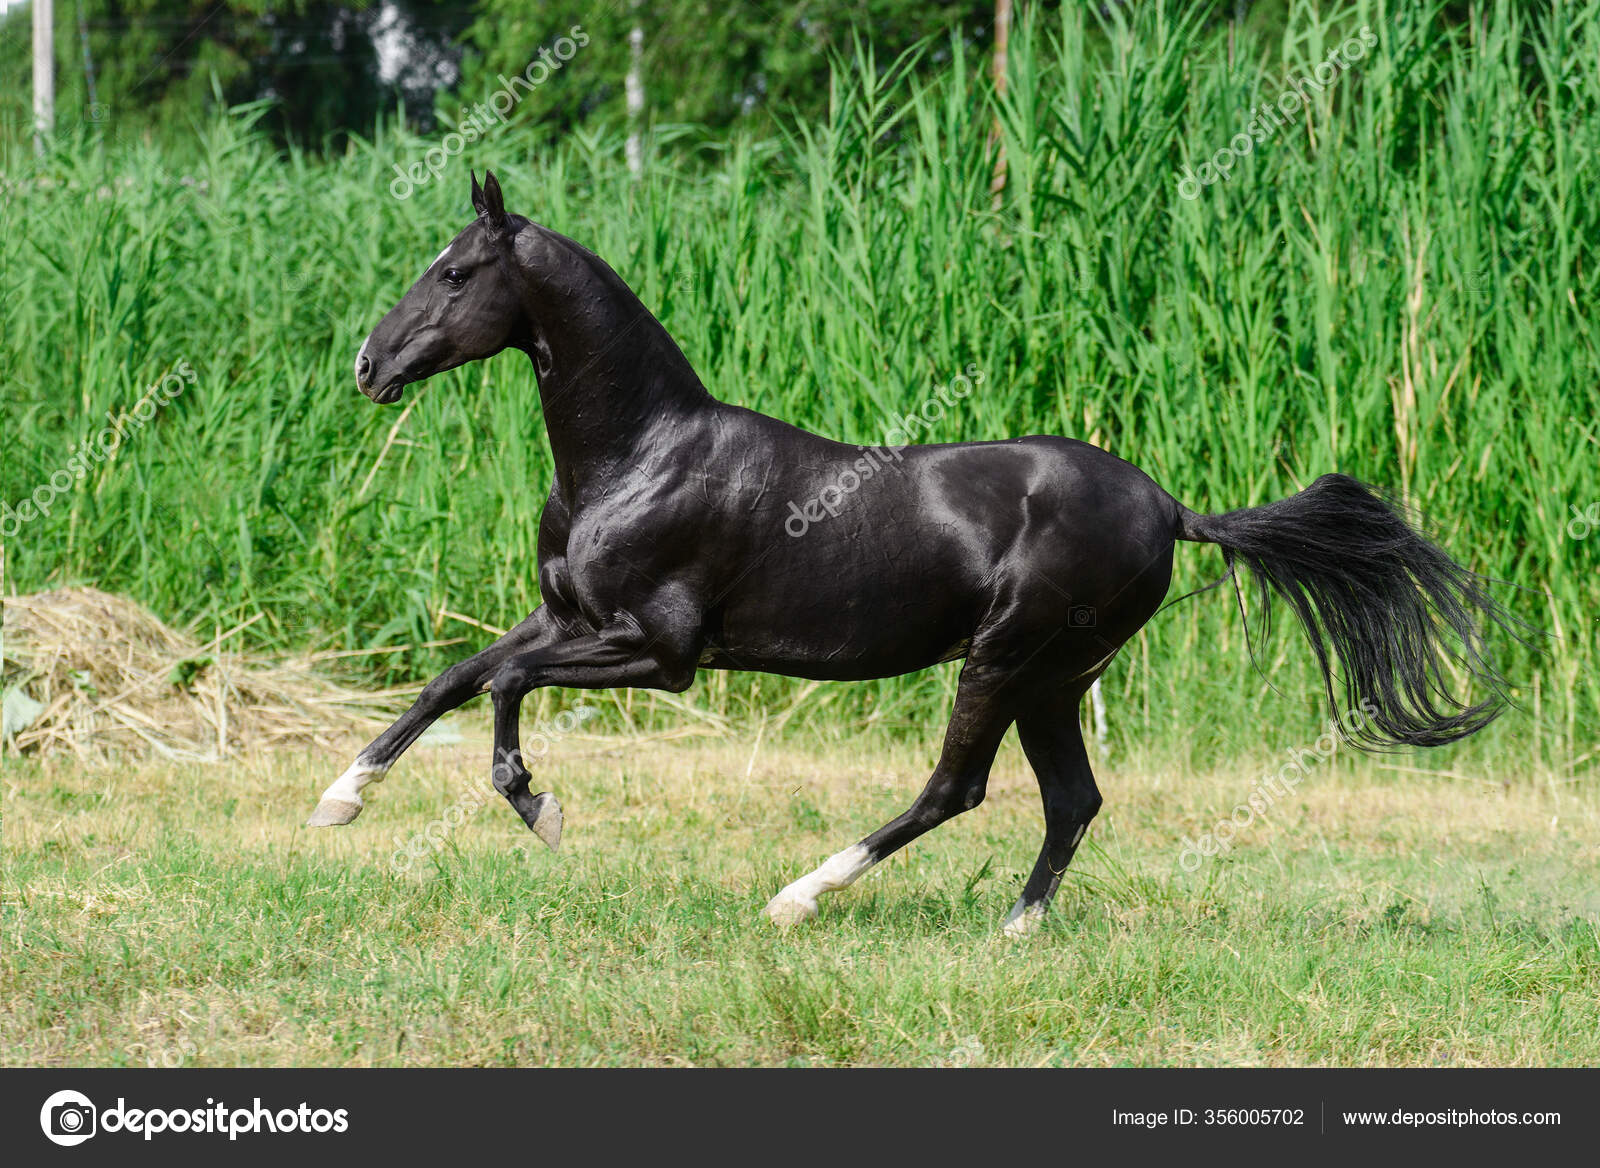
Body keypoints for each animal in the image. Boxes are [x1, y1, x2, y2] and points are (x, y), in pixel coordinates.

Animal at [309, 171, 1515, 936]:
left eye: (456, 273)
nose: (368, 365)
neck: (639, 456)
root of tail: (1172, 506)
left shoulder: (660, 651)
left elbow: (503, 684)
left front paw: (540, 810)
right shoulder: (569, 617)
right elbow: (454, 677)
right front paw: (339, 801)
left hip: (1004, 660)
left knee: (956, 788)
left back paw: (797, 898)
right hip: (1052, 679)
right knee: (1071, 802)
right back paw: (1013, 932)